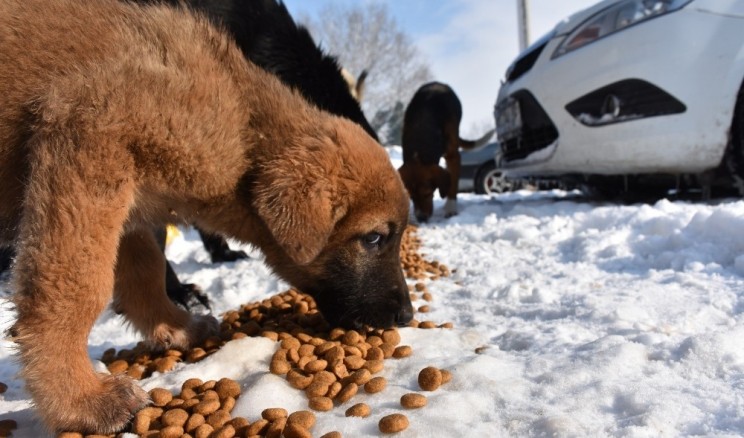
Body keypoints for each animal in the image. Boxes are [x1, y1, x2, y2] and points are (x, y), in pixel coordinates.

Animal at [0, 0, 412, 432]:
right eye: (374, 238)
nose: (407, 316)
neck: (244, 123)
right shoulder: (88, 139)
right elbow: (78, 286)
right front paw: (80, 399)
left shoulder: (129, 200)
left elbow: (145, 271)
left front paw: (176, 326)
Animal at [402, 81, 494, 222]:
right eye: (411, 196)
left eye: (427, 193)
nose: (421, 218)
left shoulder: (453, 156)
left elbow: (453, 185)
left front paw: (451, 208)